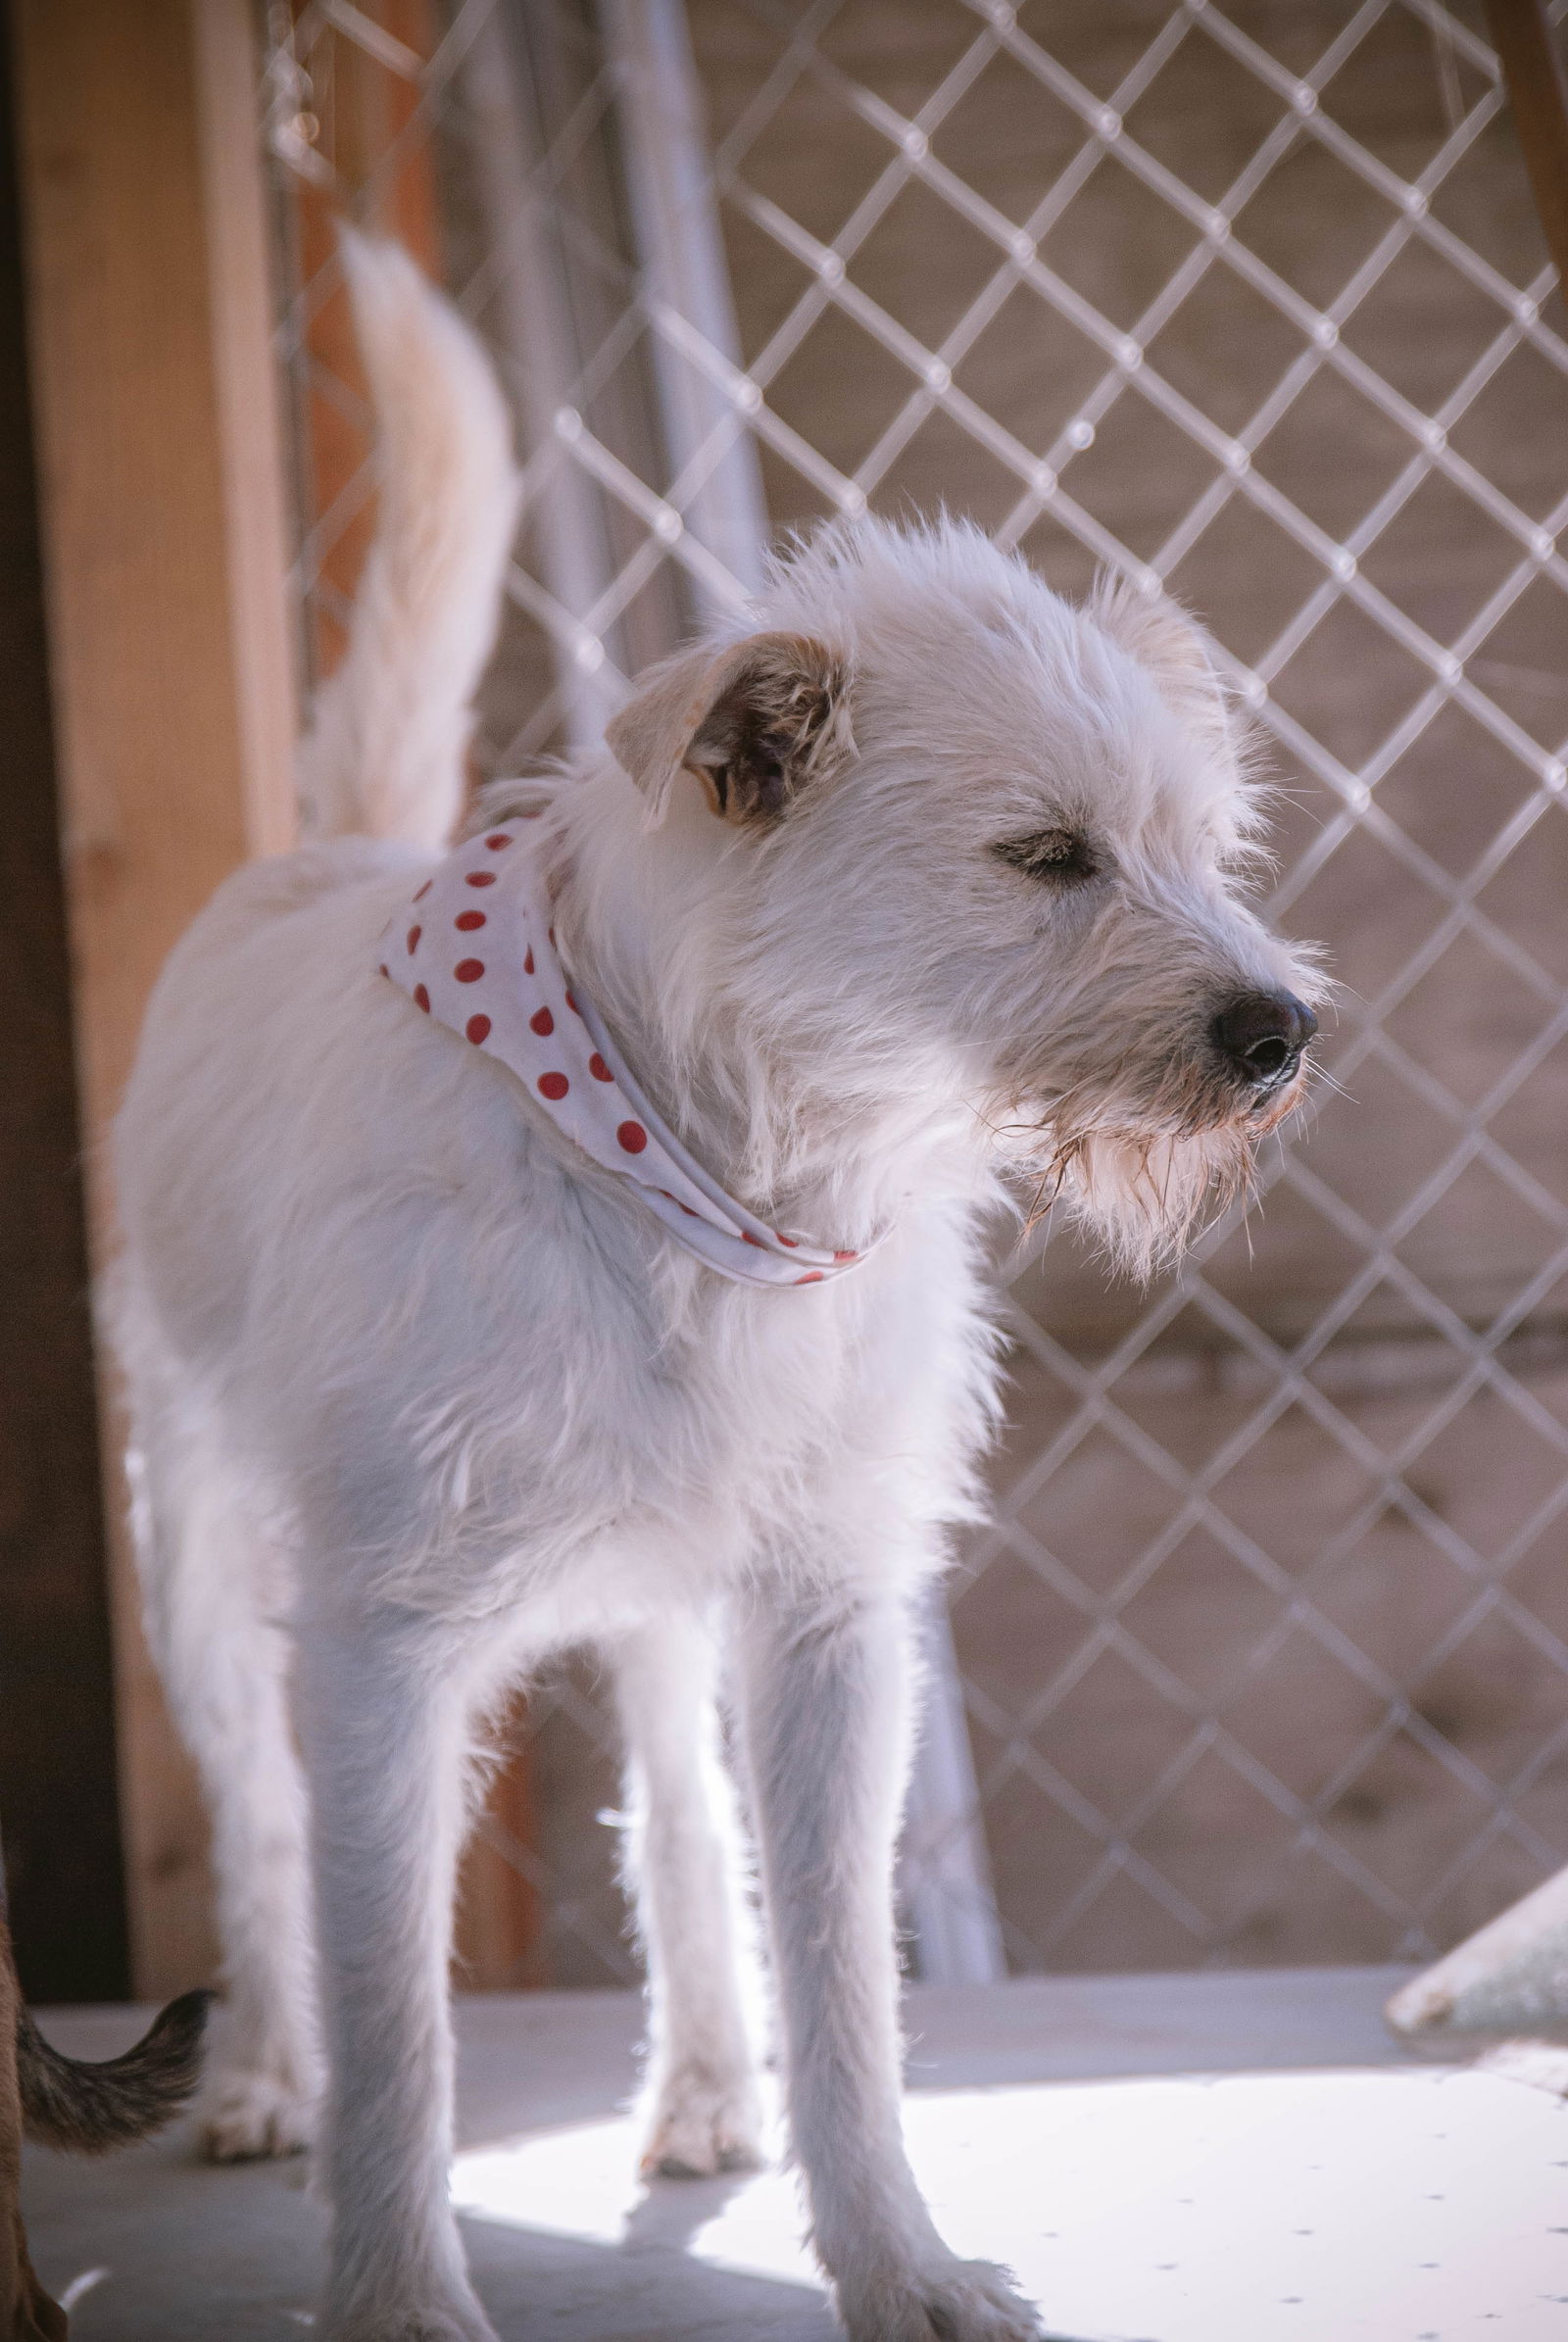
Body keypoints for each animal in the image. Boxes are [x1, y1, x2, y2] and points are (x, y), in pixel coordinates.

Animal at [113, 242, 1321, 2342]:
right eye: (1047, 855)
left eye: (1198, 849)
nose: (1284, 1037)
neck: (709, 1191)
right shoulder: (382, 1651)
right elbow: (393, 2013)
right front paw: (394, 2292)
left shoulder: (831, 1620)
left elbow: (843, 1979)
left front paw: (894, 2260)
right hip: (201, 1565)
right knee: (257, 1834)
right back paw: (260, 2068)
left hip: (669, 1601)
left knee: (677, 1809)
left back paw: (698, 2088)